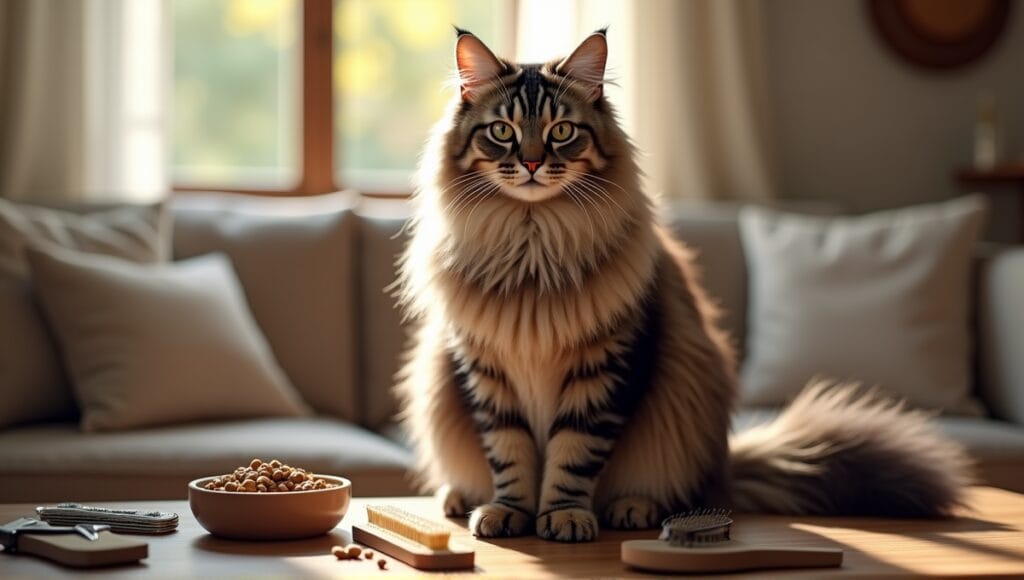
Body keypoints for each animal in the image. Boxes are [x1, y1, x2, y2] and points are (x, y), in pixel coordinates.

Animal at [395, 29, 970, 545]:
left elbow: (573, 455)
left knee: (675, 492)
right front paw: (511, 511)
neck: (532, 244)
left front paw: (562, 516)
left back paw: (633, 508)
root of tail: (726, 467)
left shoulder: (606, 368)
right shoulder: (485, 369)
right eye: (502, 131)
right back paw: (459, 497)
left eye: (560, 131)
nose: (533, 162)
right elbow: (509, 453)